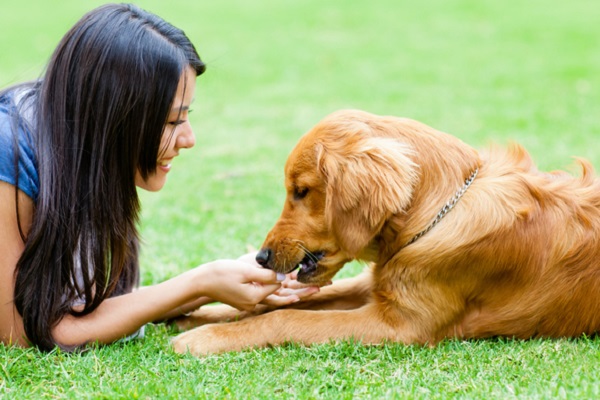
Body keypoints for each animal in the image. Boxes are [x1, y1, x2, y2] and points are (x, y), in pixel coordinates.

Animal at [172, 109, 600, 356]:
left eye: (301, 191)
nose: (261, 258)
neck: (438, 209)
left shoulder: (402, 324)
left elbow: (287, 318)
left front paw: (206, 337)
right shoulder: (378, 283)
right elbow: (276, 305)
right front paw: (198, 314)